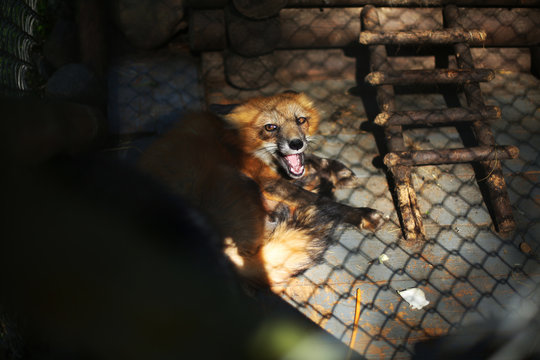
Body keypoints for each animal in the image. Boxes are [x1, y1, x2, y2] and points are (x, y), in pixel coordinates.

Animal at [139, 93, 384, 290]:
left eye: (301, 120)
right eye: (270, 127)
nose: (296, 144)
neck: (240, 141)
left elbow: (310, 162)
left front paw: (334, 170)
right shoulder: (266, 181)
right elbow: (321, 201)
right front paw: (362, 214)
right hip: (239, 181)